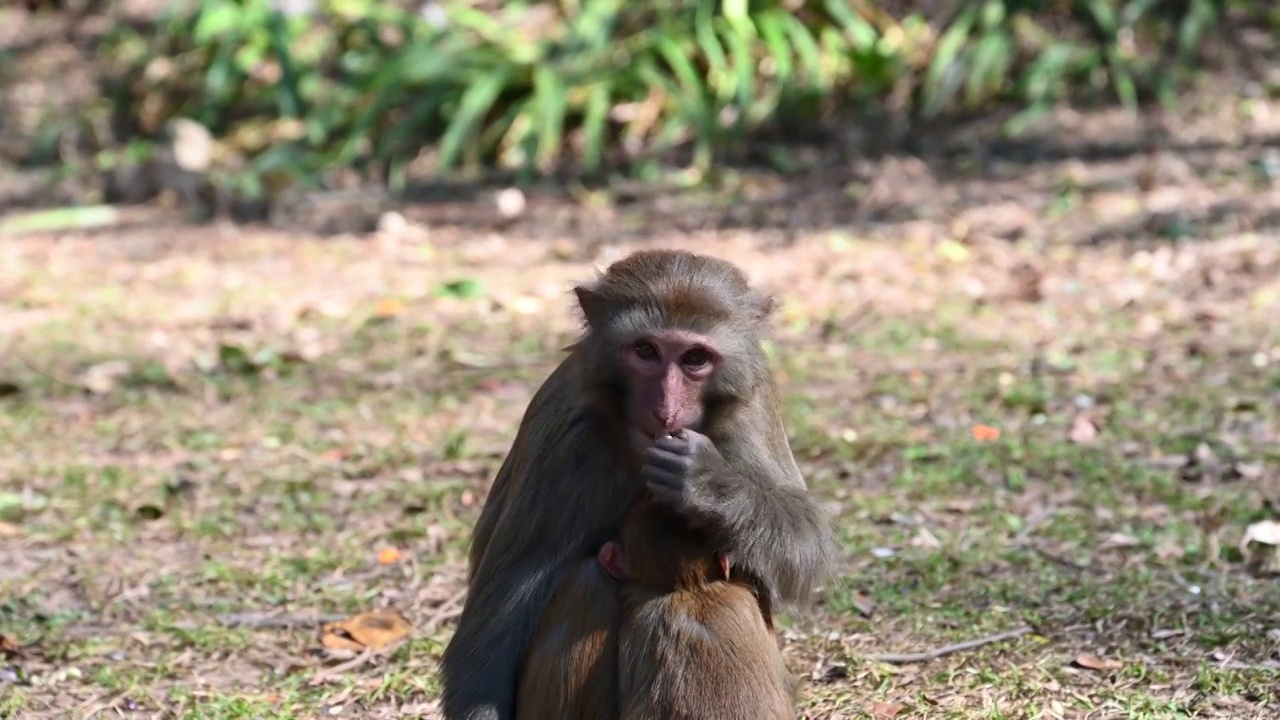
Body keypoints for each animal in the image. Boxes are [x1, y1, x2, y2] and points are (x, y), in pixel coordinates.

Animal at [440, 248, 839, 717]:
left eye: (695, 359)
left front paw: (706, 481)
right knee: (585, 582)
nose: (665, 410)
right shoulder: (566, 436)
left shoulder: (751, 407)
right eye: (645, 351)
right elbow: (494, 629)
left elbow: (805, 541)